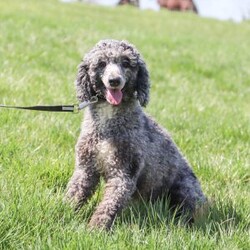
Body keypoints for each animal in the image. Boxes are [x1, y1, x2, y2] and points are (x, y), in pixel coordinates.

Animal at [65, 39, 206, 230]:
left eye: (126, 63)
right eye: (101, 63)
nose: (114, 80)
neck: (108, 122)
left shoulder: (124, 174)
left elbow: (108, 205)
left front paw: (96, 228)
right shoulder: (85, 168)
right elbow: (74, 192)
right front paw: (62, 211)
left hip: (185, 189)